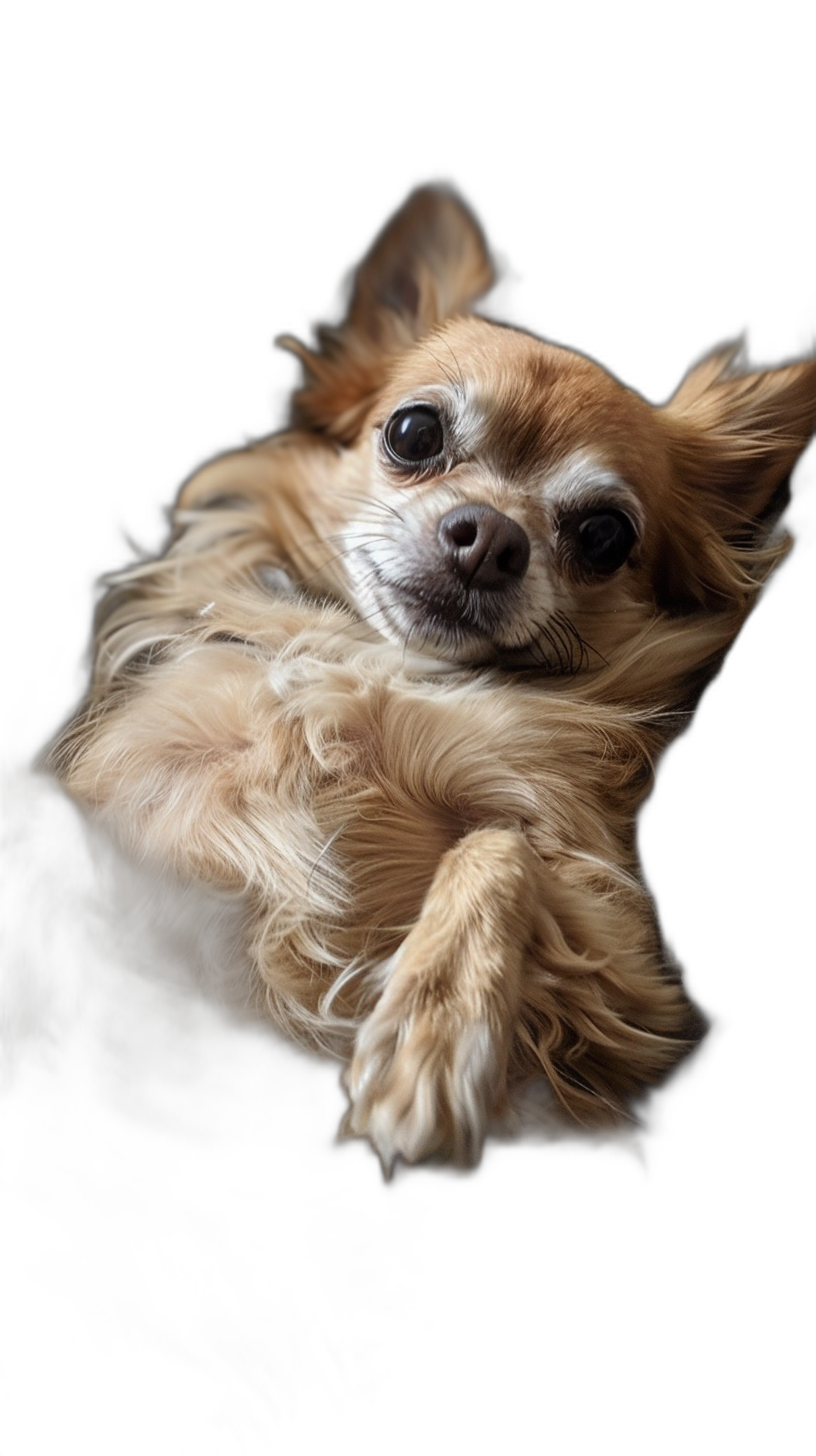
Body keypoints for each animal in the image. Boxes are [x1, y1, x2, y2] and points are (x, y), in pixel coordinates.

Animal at [28, 187, 810, 1176]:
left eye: (605, 536)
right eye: (413, 433)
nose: (490, 537)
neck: (385, 669)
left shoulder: (621, 983)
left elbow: (496, 849)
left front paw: (428, 1042)